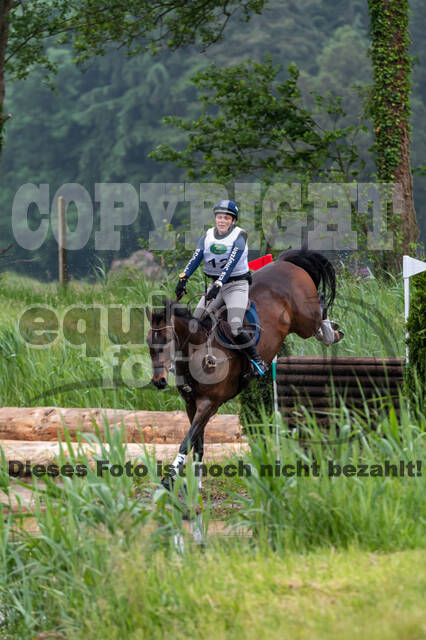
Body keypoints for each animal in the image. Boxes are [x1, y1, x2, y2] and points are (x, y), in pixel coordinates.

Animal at [146, 249, 343, 487]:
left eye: (166, 340)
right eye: (148, 343)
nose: (159, 381)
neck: (198, 353)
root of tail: (285, 263)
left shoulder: (209, 404)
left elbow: (187, 441)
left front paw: (169, 479)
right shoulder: (191, 404)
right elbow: (198, 443)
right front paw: (197, 486)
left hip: (304, 320)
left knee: (319, 310)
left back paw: (332, 332)